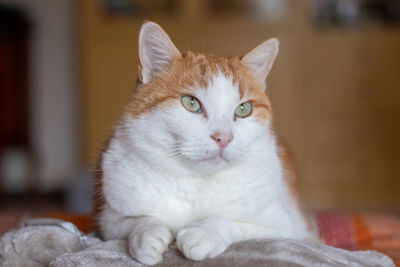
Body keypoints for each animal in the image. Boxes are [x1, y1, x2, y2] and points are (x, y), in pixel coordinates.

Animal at [97, 21, 312, 266]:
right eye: (191, 103)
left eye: (243, 109)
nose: (223, 137)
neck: (195, 183)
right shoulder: (109, 221)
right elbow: (139, 220)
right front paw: (148, 235)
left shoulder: (283, 226)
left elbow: (232, 222)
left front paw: (202, 233)